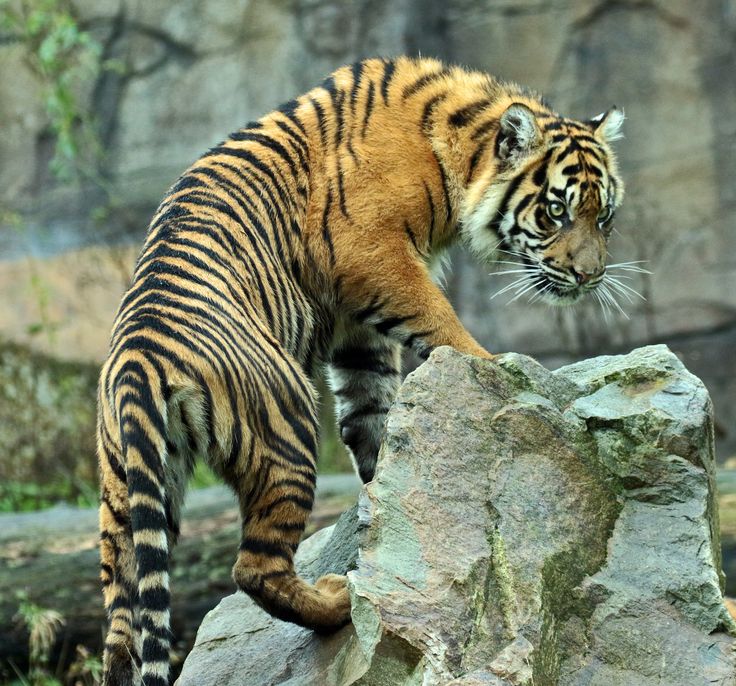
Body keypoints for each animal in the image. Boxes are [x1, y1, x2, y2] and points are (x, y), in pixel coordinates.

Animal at [98, 56, 624, 684]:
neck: (456, 146)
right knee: (255, 568)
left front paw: (388, 496)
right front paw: (494, 368)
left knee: (123, 620)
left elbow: (371, 411)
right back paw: (337, 603)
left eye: (604, 216)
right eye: (556, 210)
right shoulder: (370, 252)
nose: (590, 276)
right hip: (287, 429)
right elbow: (441, 322)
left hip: (130, 491)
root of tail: (139, 358)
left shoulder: (358, 327)